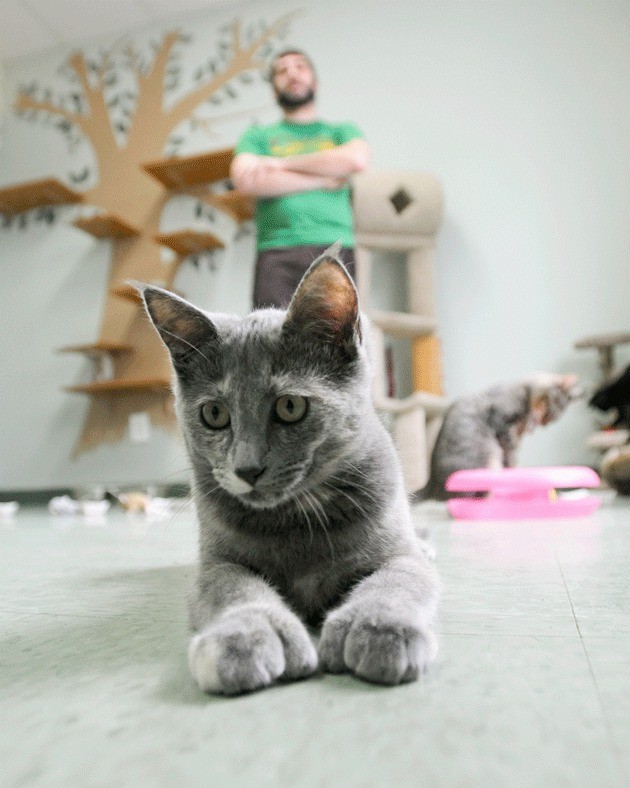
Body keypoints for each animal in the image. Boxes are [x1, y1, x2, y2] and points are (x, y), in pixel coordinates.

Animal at [142, 251, 440, 696]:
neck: (297, 522)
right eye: (214, 414)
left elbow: (397, 580)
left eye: (290, 407)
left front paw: (379, 627)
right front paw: (247, 637)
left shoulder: (397, 553)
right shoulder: (215, 566)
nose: (247, 468)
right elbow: (234, 590)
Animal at [418, 374, 584, 502]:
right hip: (488, 459)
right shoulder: (500, 422)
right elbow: (511, 457)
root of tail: (432, 483)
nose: (544, 423)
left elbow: (511, 461)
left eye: (552, 419)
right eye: (550, 410)